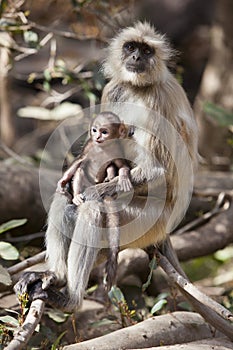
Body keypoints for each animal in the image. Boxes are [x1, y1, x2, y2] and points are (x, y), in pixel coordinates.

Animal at [57, 112, 133, 290]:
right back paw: (77, 196)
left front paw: (123, 176)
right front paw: (63, 181)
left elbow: (121, 165)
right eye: (94, 130)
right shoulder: (89, 147)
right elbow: (79, 161)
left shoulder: (117, 149)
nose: (98, 136)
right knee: (80, 170)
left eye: (104, 132)